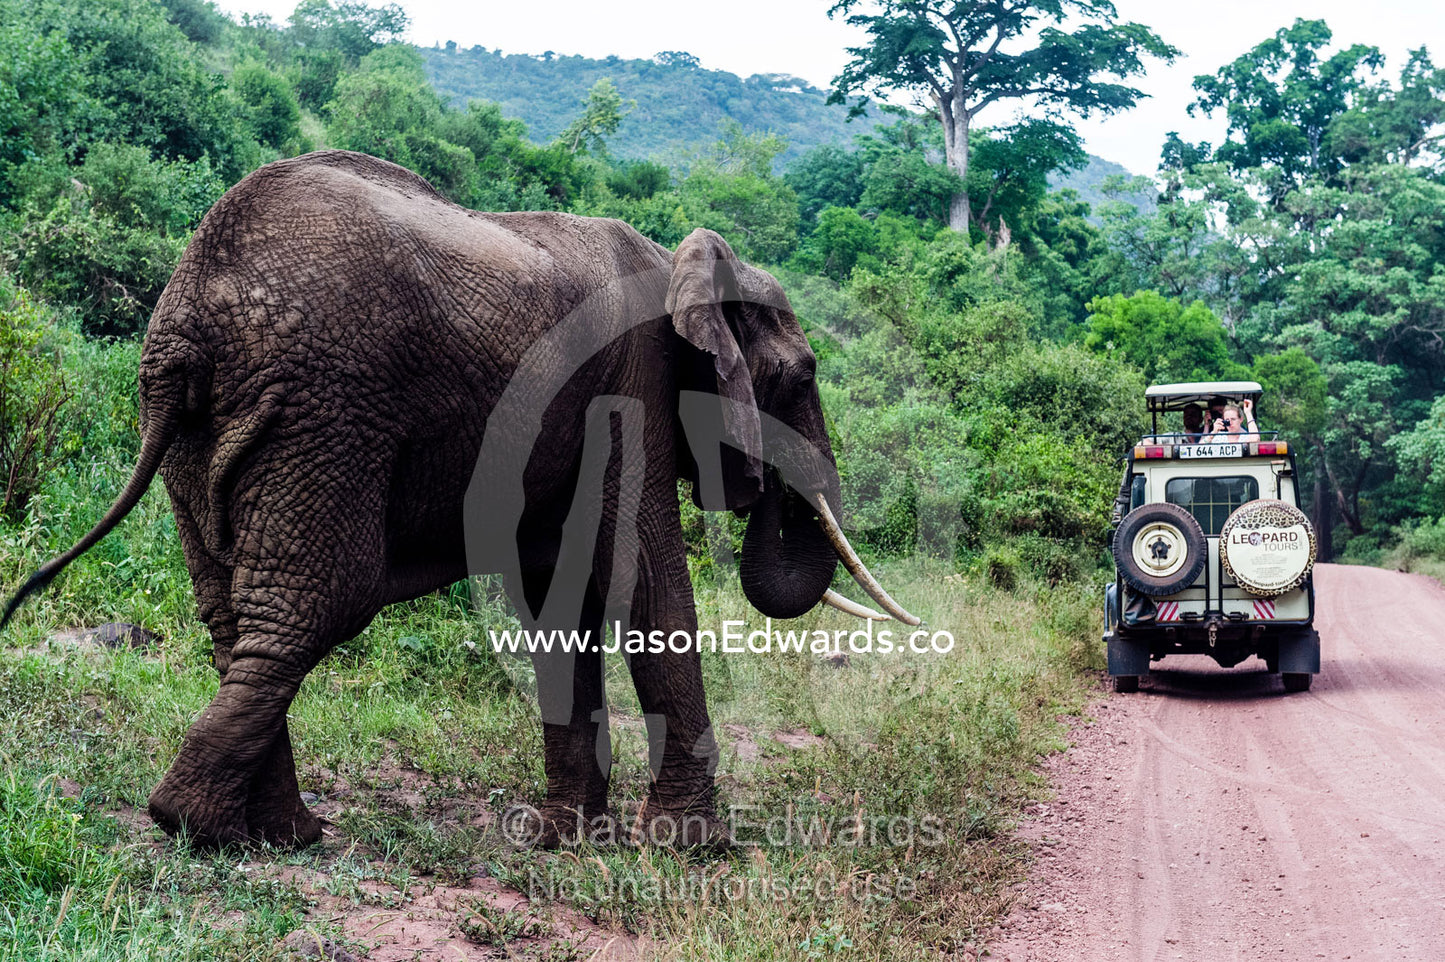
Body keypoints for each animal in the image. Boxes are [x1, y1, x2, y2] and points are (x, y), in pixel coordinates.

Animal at [3, 150, 916, 850]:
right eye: (803, 377)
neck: (680, 263)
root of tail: (189, 314)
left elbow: (560, 602)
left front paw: (563, 840)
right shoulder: (631, 393)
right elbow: (646, 581)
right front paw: (696, 851)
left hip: (211, 432)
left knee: (237, 621)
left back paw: (269, 832)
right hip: (329, 413)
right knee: (316, 607)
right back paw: (211, 828)